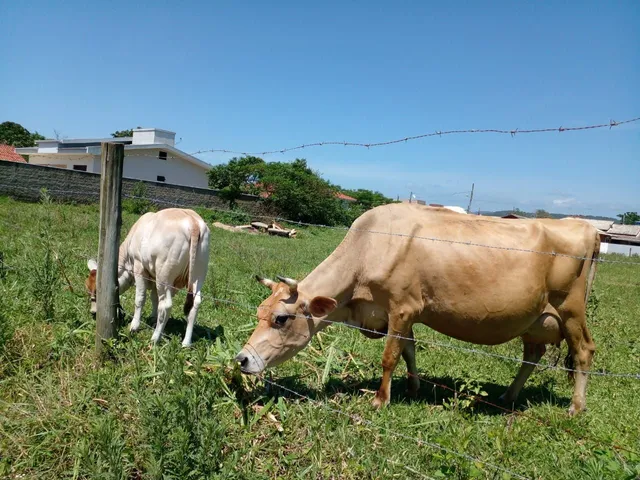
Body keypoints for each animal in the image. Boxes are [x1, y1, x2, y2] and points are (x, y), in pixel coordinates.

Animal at [86, 208, 210, 347]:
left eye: (96, 291)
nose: (93, 312)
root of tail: (192, 221)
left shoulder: (139, 267)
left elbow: (140, 298)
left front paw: (134, 326)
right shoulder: (155, 278)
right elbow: (154, 298)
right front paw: (153, 318)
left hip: (164, 275)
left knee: (166, 305)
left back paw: (155, 338)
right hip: (198, 276)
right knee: (195, 304)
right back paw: (186, 343)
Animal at [235, 203, 600, 415]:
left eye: (282, 319)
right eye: (259, 313)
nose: (242, 359)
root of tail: (587, 227)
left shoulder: (403, 307)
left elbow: (390, 356)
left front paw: (380, 400)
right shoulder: (401, 313)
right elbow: (408, 350)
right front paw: (413, 387)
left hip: (571, 309)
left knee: (584, 351)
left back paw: (576, 407)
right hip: (536, 319)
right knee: (532, 355)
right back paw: (508, 397)